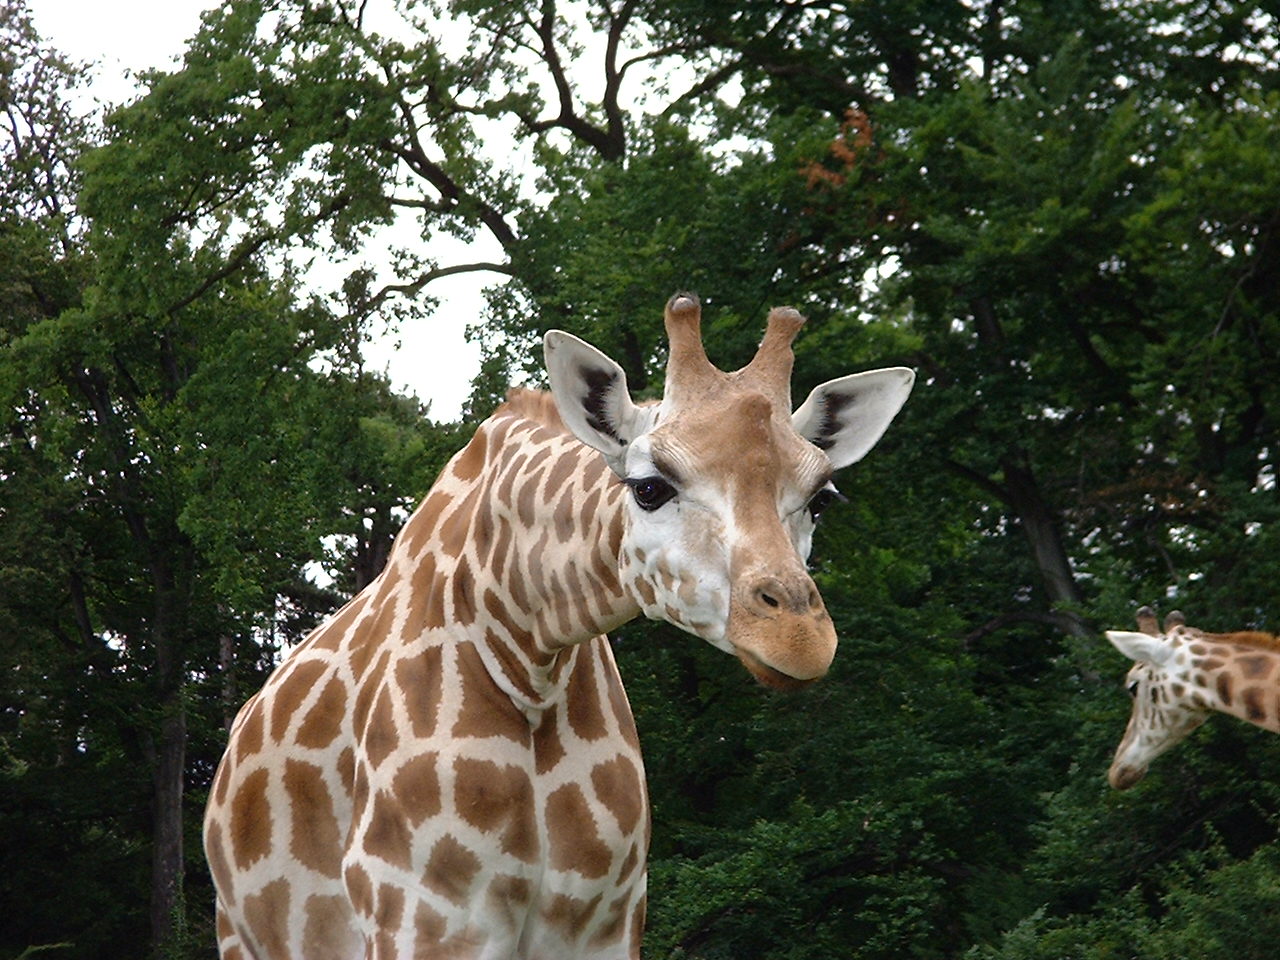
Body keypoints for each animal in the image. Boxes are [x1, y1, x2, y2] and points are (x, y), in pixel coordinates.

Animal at [204, 295, 916, 960]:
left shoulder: (604, 919)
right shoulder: (425, 915)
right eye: (649, 487)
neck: (527, 653)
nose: (799, 637)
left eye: (822, 499)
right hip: (244, 935)